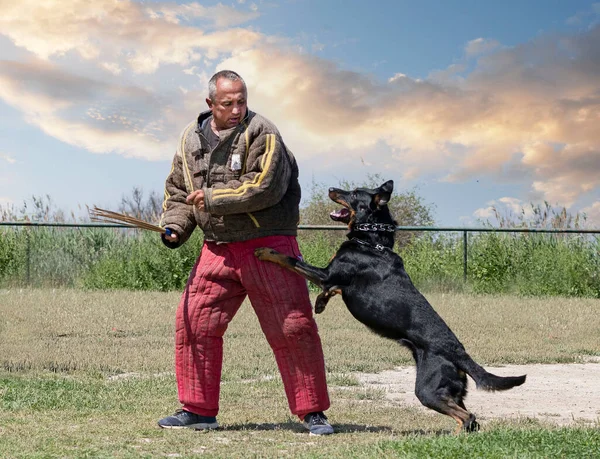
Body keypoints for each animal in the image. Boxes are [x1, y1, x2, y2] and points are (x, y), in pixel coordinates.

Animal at [255, 181, 528, 434]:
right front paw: (320, 303)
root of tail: (460, 353)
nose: (332, 188)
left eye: (354, 193)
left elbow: (290, 260)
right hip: (449, 389)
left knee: (467, 416)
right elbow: (329, 291)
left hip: (428, 389)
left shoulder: (326, 274)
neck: (372, 243)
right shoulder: (333, 280)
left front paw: (266, 251)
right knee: (470, 418)